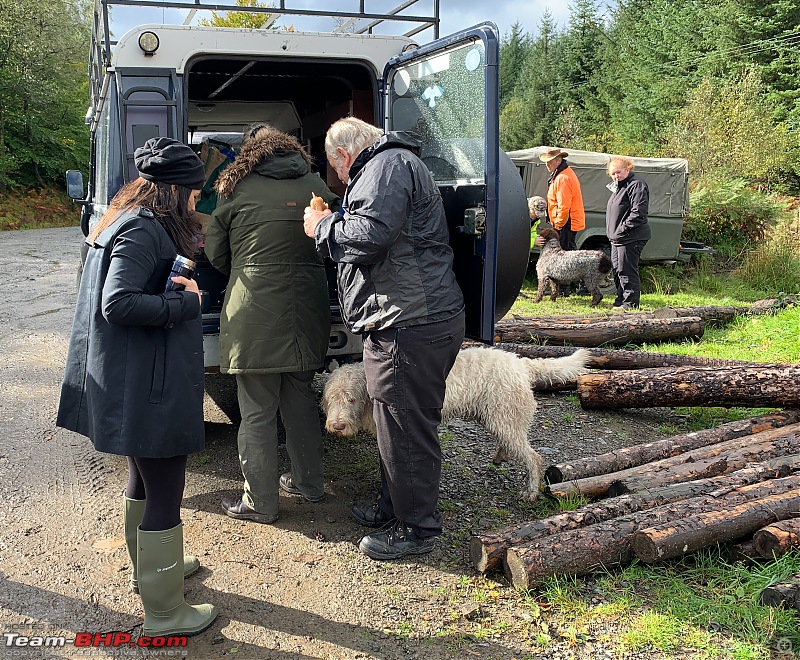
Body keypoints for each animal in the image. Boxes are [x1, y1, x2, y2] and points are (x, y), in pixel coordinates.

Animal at [322, 346, 592, 500]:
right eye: (331, 399)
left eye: (351, 399)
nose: (337, 426)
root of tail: (520, 363)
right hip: (499, 419)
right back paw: (501, 456)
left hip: (504, 417)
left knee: (533, 457)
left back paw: (531, 492)